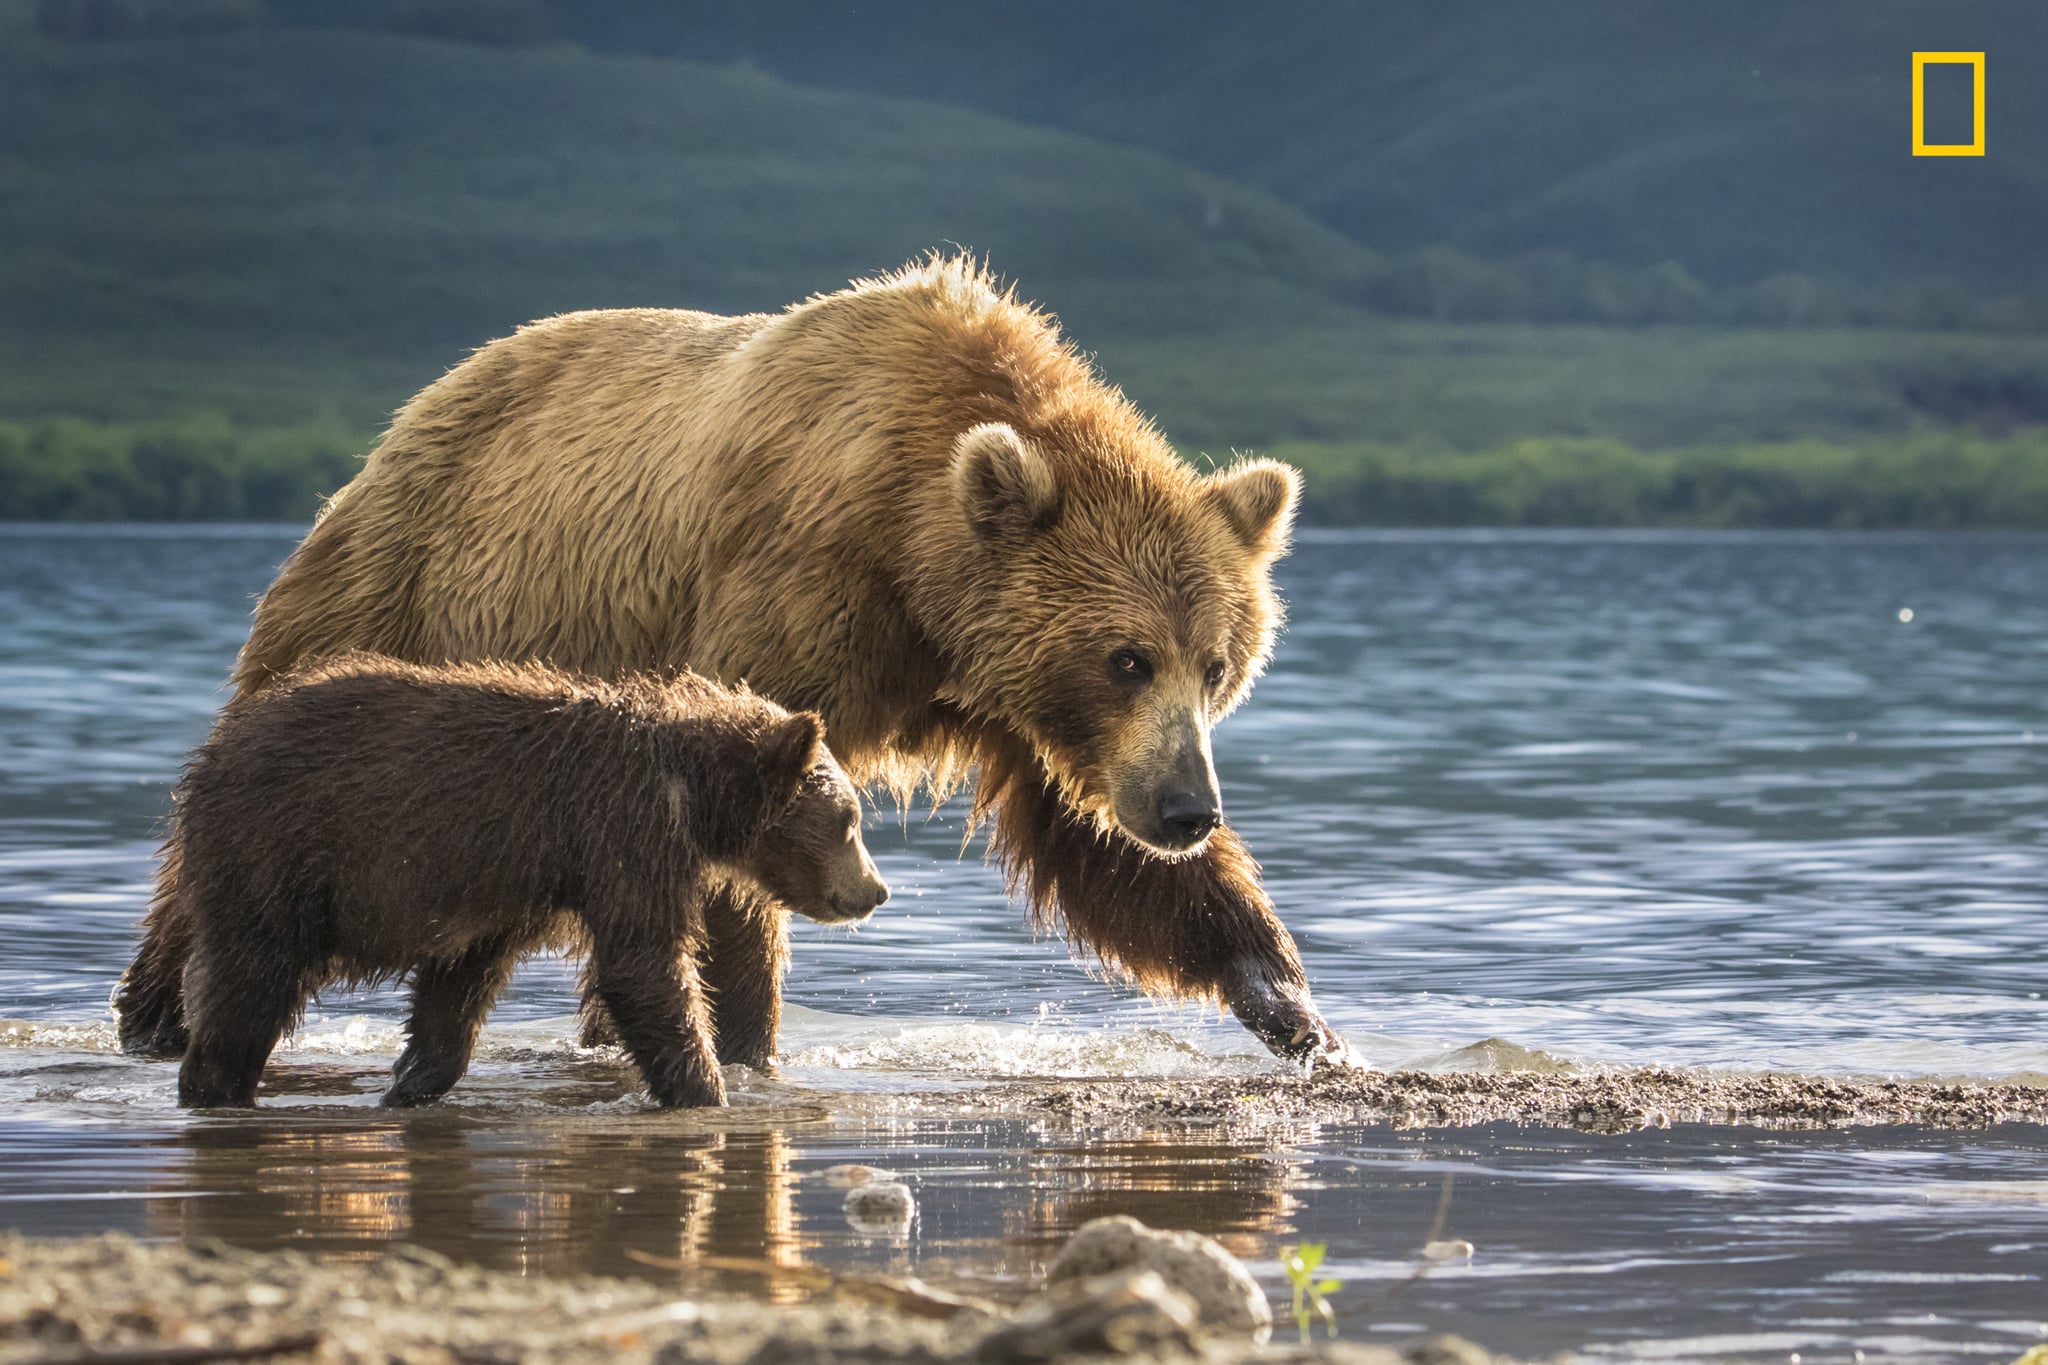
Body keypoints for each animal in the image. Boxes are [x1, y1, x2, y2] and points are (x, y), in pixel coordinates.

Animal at [128, 653, 887, 1109]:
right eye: (849, 820)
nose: (875, 890)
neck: (691, 789)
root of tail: (206, 758)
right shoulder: (620, 830)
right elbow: (644, 964)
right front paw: (705, 1090)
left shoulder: (508, 887)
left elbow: (460, 984)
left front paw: (412, 1080)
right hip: (275, 855)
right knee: (250, 981)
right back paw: (216, 1083)